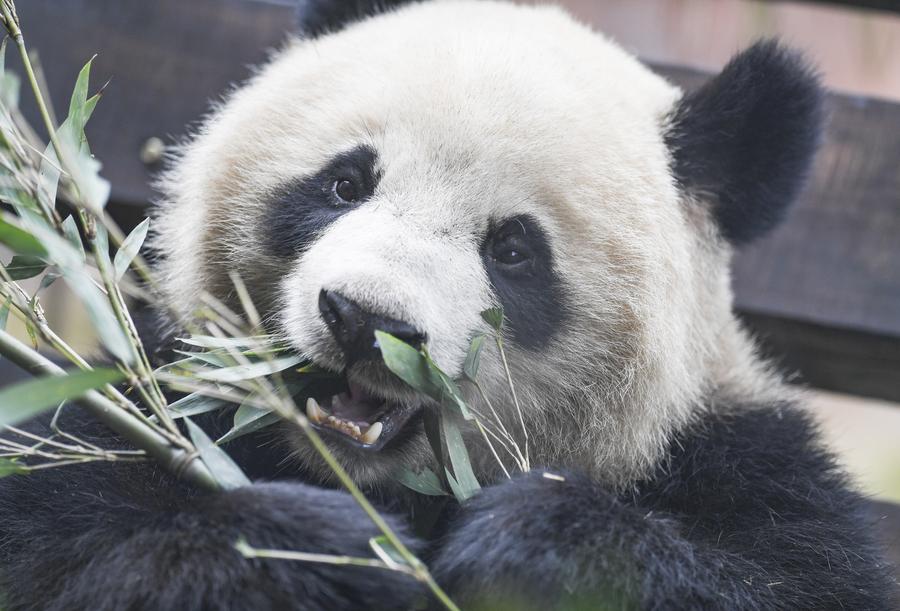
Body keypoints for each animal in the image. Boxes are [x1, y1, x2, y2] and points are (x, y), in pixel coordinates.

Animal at [0, 0, 892, 608]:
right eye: (345, 183)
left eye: (513, 249)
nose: (365, 321)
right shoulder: (147, 386)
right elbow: (57, 528)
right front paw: (323, 550)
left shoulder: (741, 461)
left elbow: (787, 577)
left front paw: (527, 545)